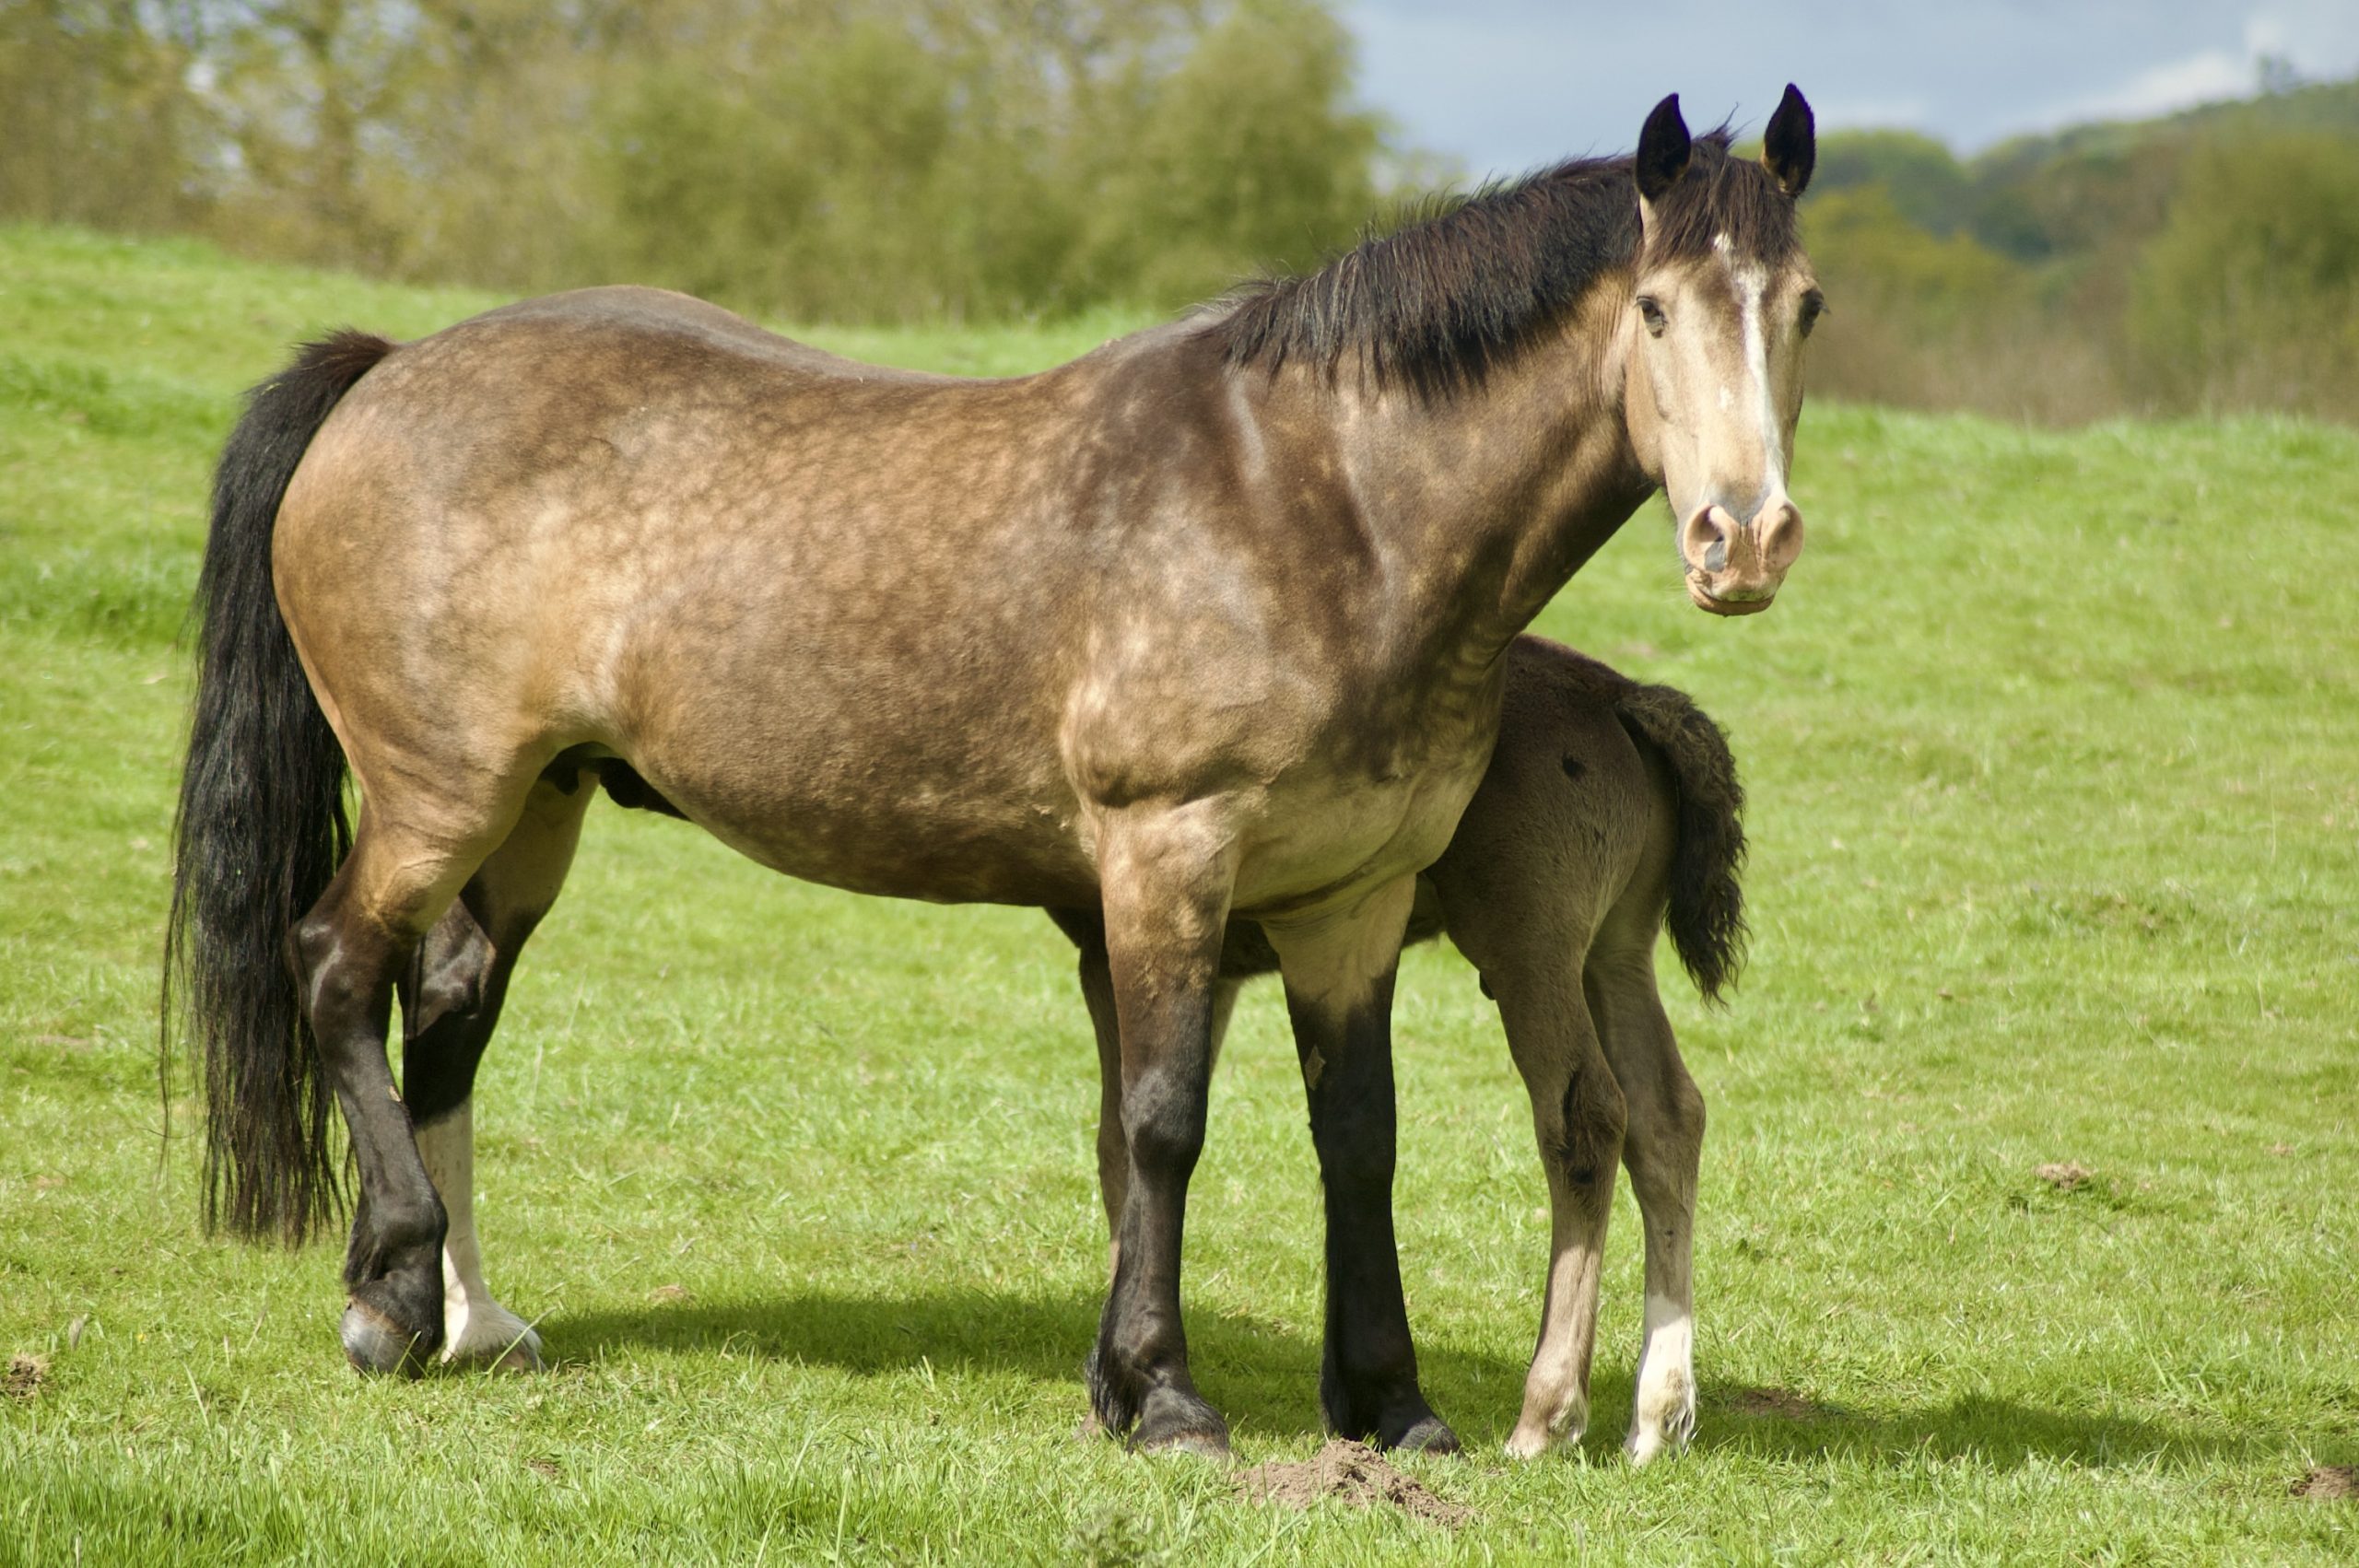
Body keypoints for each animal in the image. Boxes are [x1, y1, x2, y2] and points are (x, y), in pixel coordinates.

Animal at [1058, 637, 1745, 1462]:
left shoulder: (1138, 947)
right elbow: (1124, 1141)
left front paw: (1117, 1388)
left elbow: (1129, 1137)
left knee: (1585, 1116)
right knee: (1667, 1113)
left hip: (1529, 944)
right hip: (1615, 951)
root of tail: (1618, 697)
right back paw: (1656, 1419)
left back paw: (1543, 1418)